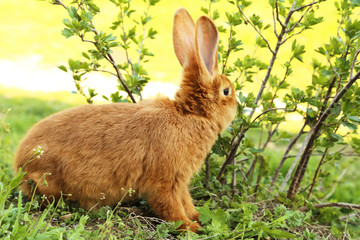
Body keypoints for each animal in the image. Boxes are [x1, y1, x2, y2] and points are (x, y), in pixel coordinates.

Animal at [14, 7, 238, 232]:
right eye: (226, 91)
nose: (237, 106)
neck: (191, 114)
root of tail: (19, 163)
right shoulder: (166, 180)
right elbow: (170, 206)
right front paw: (191, 227)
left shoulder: (180, 182)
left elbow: (186, 202)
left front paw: (197, 218)